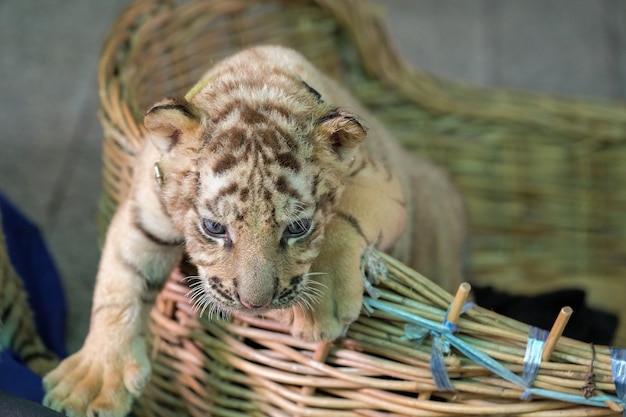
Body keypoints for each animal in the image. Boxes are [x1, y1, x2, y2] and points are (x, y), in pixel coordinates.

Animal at [42, 45, 464, 416]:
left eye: (297, 228)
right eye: (214, 228)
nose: (254, 304)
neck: (254, 80)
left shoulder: (383, 183)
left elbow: (345, 218)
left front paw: (319, 309)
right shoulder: (144, 209)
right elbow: (119, 282)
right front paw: (91, 381)